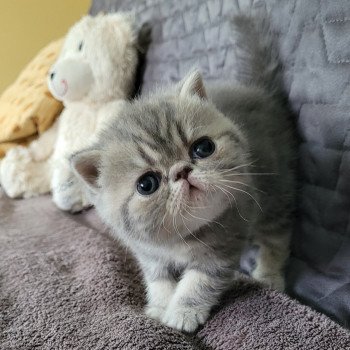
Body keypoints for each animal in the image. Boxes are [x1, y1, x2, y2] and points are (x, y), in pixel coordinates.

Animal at [70, 15, 296, 334]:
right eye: (147, 184)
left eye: (203, 148)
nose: (183, 171)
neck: (177, 239)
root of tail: (260, 93)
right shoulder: (149, 254)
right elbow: (159, 281)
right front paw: (159, 307)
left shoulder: (221, 247)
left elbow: (198, 283)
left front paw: (182, 312)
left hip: (275, 190)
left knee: (278, 235)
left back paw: (269, 273)